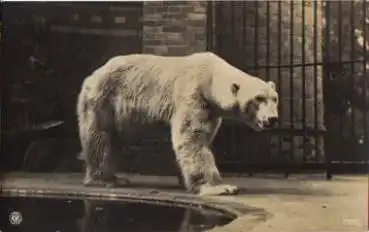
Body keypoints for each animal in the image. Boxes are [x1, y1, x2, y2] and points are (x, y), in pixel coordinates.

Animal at [76, 52, 278, 196]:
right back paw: (105, 179)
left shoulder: (212, 110)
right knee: (100, 137)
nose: (272, 119)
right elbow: (192, 138)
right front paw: (221, 187)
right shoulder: (194, 96)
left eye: (274, 98)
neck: (210, 76)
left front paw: (184, 180)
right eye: (258, 98)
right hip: (104, 100)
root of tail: (93, 75)